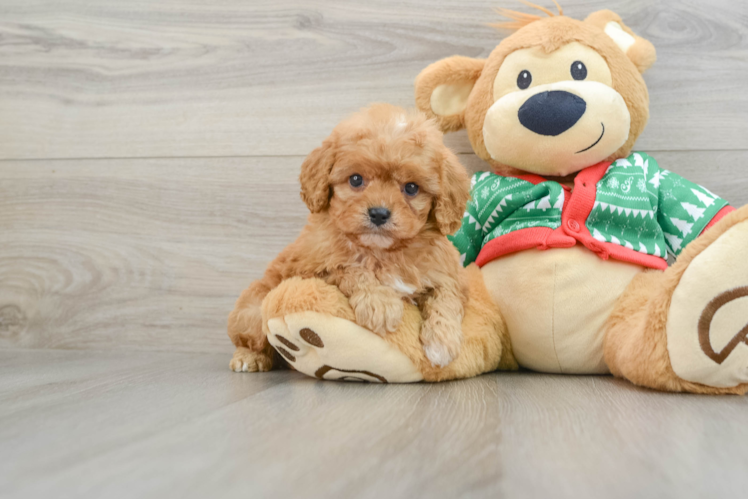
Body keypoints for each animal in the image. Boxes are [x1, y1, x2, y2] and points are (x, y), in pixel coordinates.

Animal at [228, 104, 470, 372]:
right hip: (252, 310)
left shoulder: (447, 274)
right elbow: (349, 268)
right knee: (254, 338)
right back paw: (249, 358)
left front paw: (443, 342)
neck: (383, 251)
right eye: (356, 179)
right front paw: (380, 304)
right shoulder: (311, 267)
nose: (379, 213)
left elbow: (446, 298)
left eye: (411, 188)